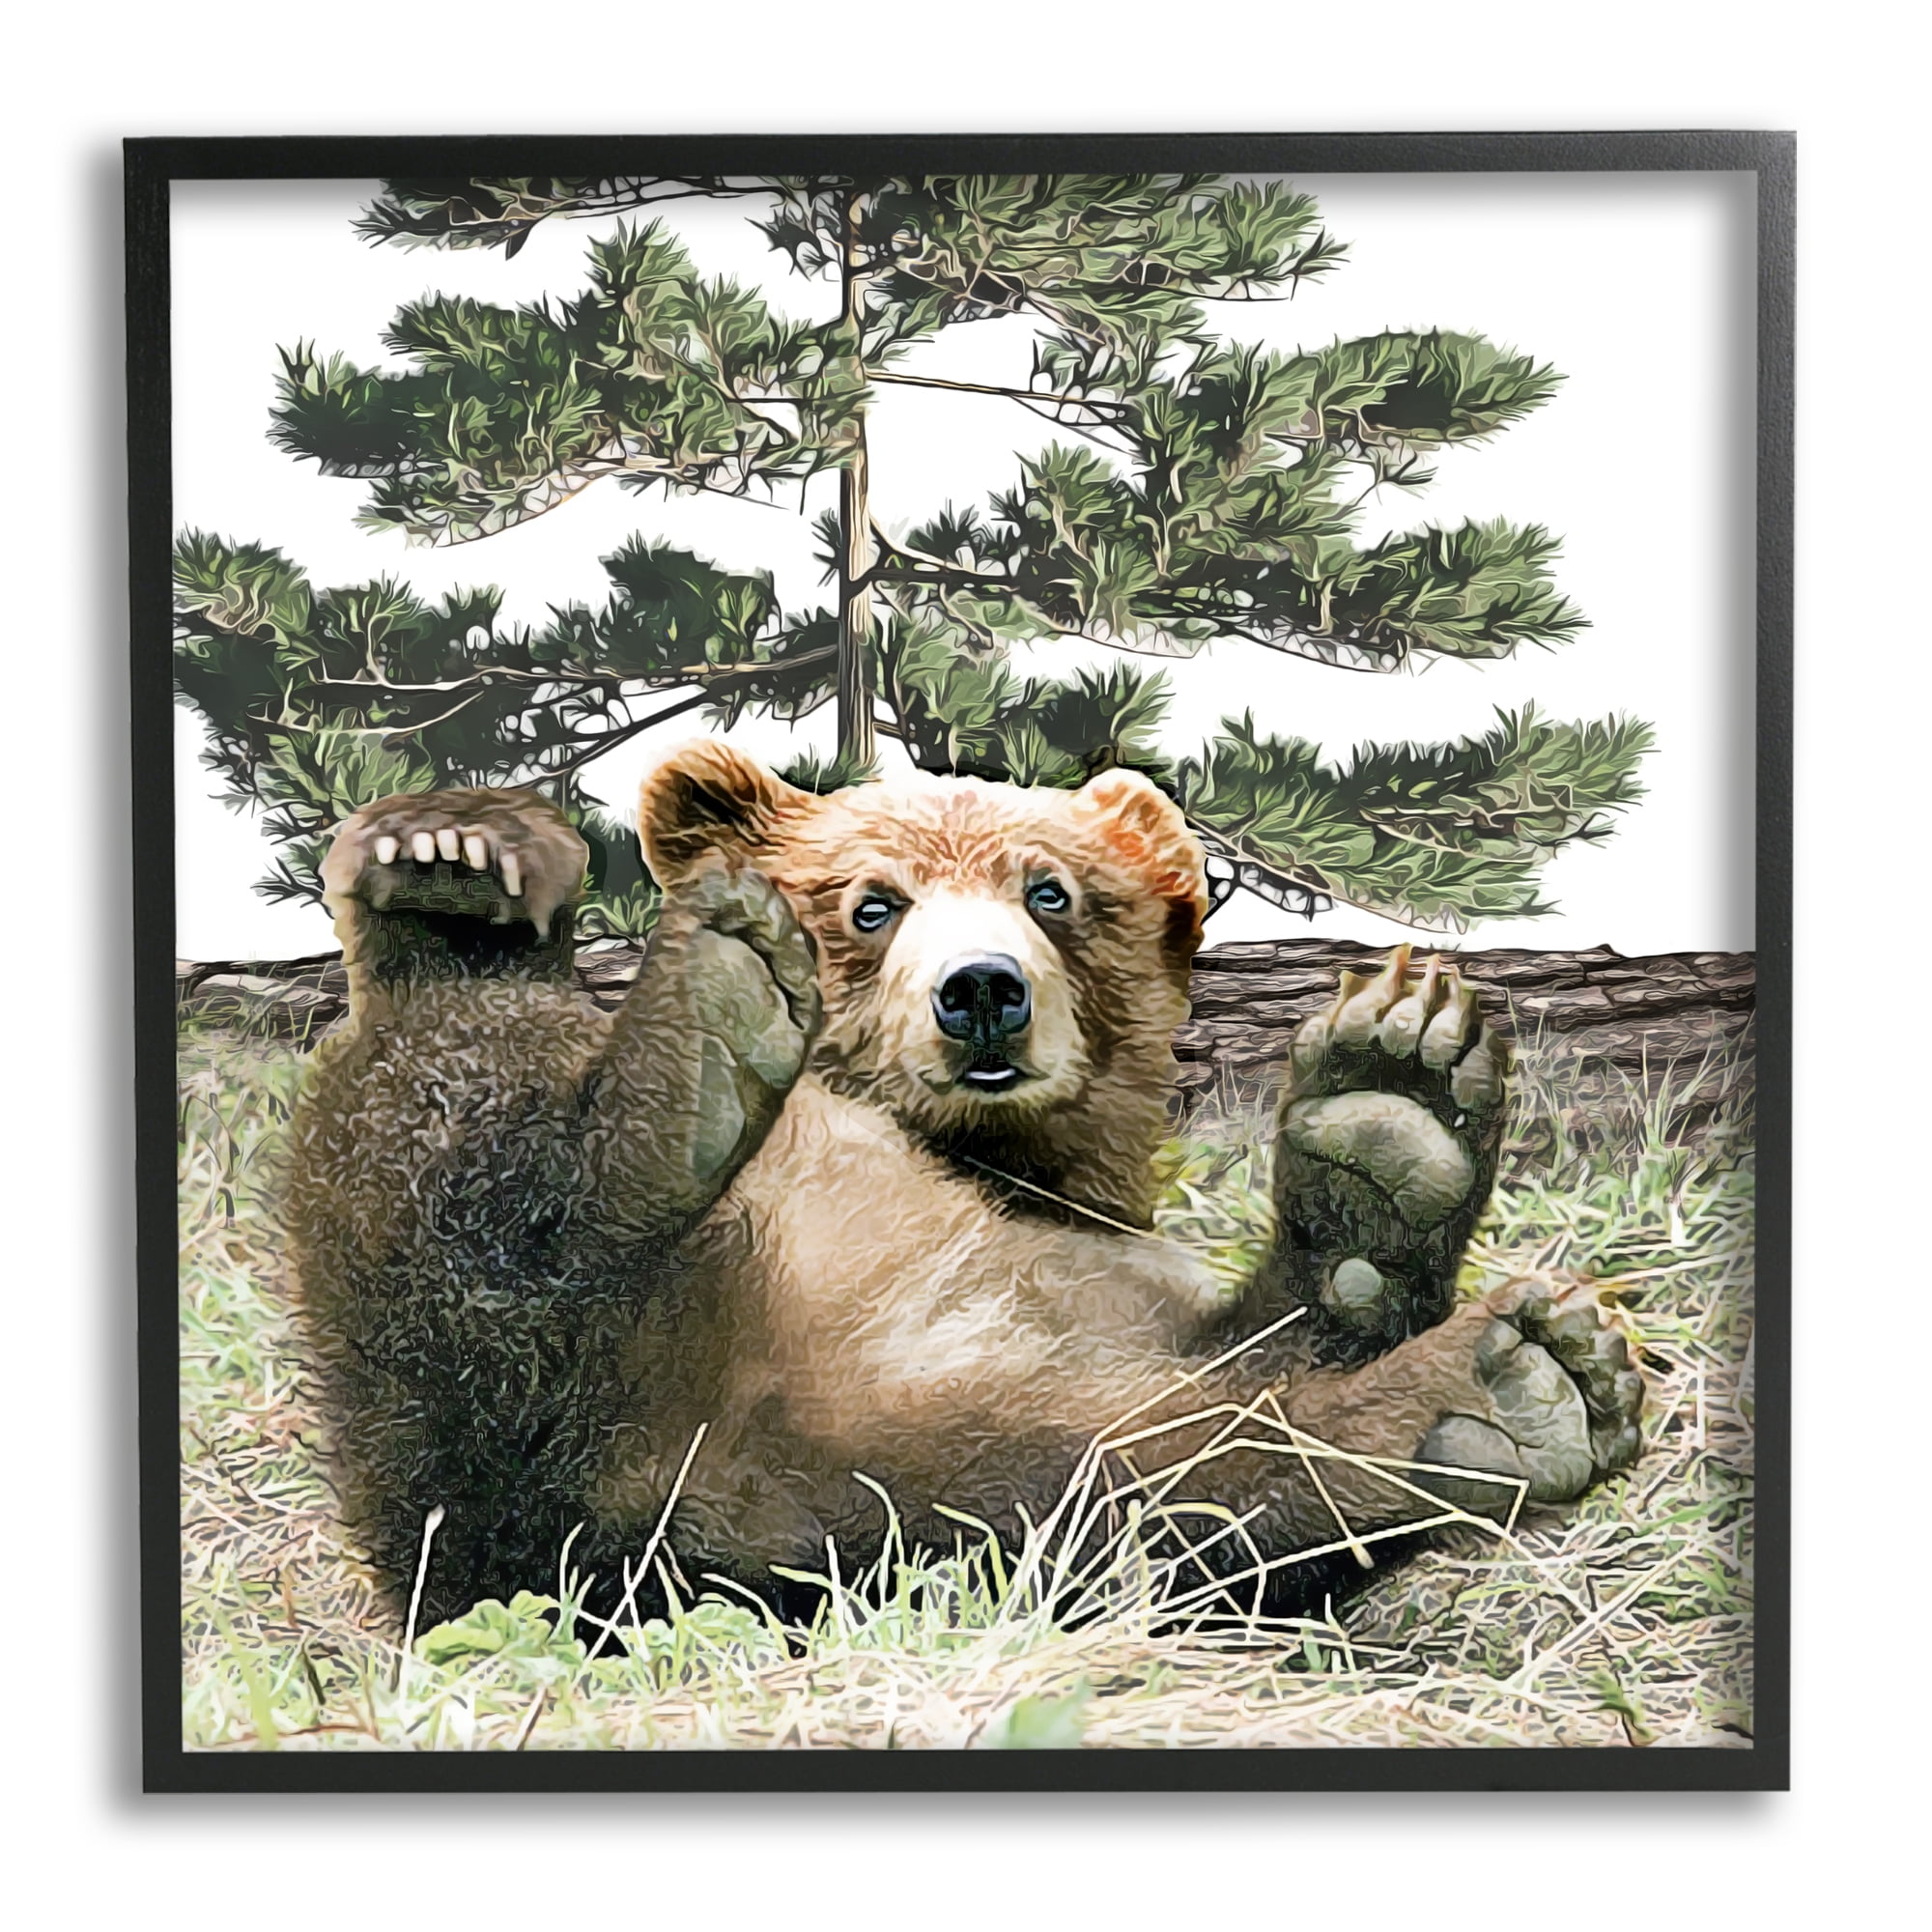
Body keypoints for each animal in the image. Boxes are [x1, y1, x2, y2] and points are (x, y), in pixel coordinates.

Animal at [286, 742, 1644, 1630]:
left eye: (1050, 888)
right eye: (871, 902)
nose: (982, 987)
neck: (984, 1159)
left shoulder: (1092, 1277)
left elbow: (1236, 1390)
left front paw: (1390, 1117)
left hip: (863, 1486)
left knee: (1138, 1490)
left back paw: (1492, 1381)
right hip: (491, 1410)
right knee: (445, 1134)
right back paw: (498, 905)